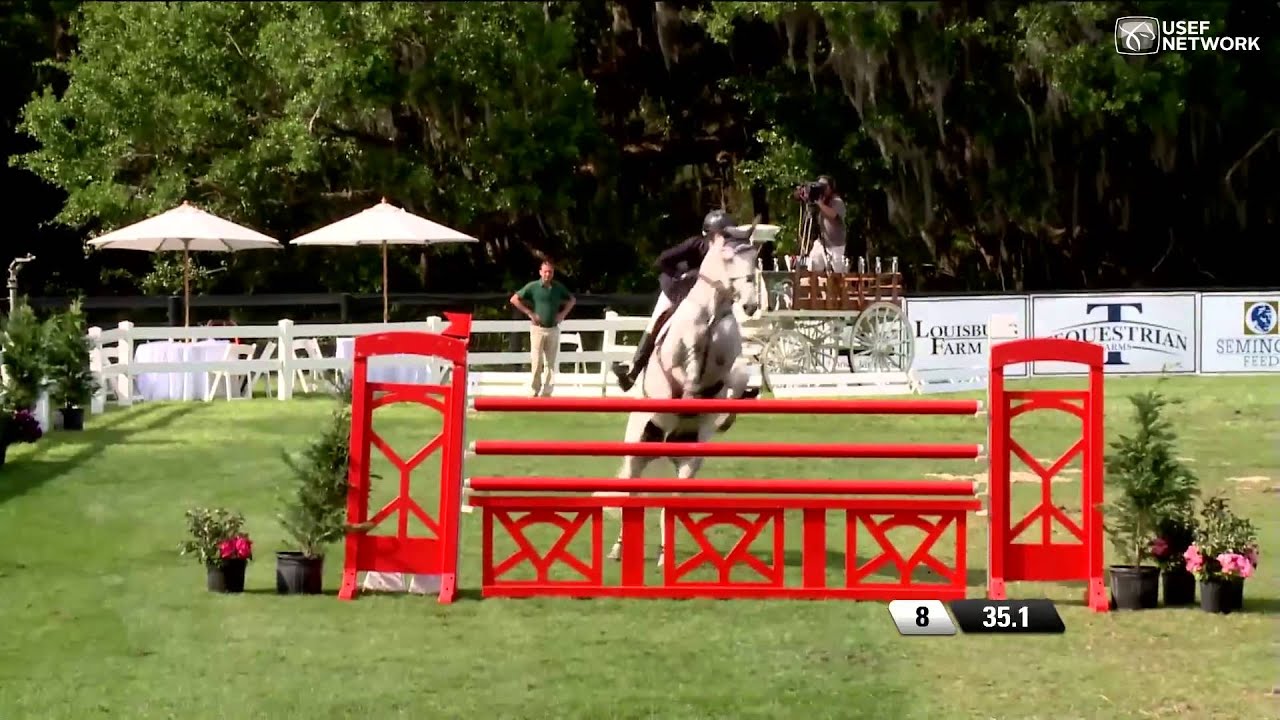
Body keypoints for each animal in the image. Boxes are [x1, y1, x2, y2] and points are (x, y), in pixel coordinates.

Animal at [604, 224, 763, 565]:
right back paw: (619, 549)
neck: (713, 312)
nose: (750, 305)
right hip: (637, 447)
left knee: (674, 498)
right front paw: (690, 392)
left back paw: (665, 556)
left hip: (689, 459)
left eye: (754, 258)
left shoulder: (727, 362)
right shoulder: (677, 357)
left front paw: (729, 412)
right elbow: (687, 368)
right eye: (729, 258)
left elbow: (737, 374)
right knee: (630, 491)